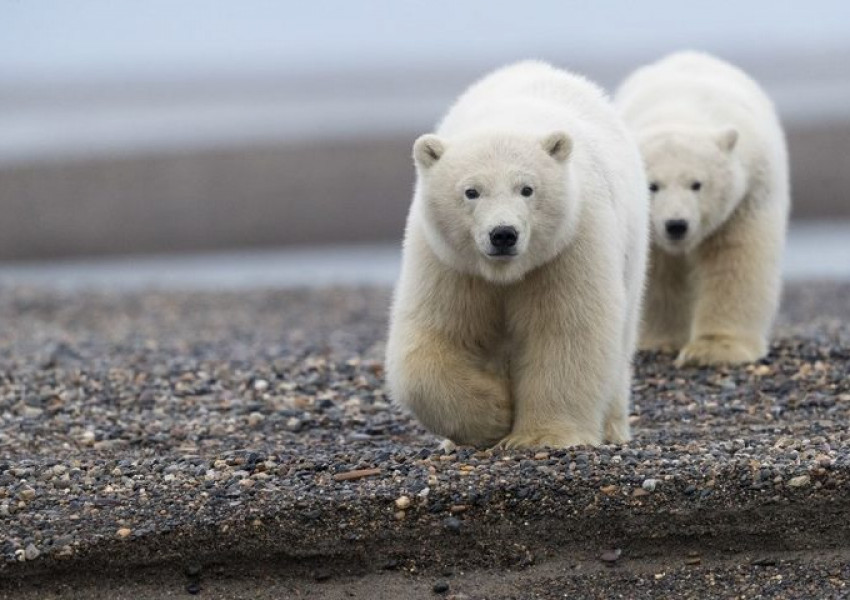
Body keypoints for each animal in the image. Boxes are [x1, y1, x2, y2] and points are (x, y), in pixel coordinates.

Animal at [386, 61, 648, 448]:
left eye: (527, 189)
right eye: (471, 191)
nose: (503, 234)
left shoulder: (569, 244)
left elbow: (566, 330)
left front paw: (542, 436)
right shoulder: (448, 259)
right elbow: (437, 335)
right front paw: (495, 413)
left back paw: (613, 428)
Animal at [616, 51, 788, 366]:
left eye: (697, 184)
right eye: (652, 186)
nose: (676, 225)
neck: (678, 108)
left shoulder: (747, 194)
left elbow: (736, 259)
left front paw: (715, 349)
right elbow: (656, 272)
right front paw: (660, 340)